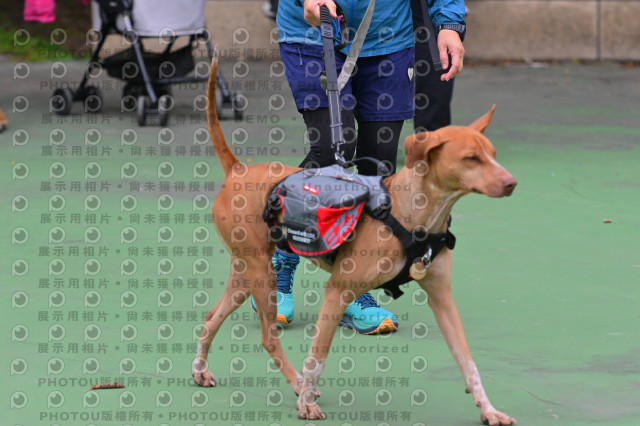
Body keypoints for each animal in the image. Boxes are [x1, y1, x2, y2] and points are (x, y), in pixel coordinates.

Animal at [192, 57, 518, 426]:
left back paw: (200, 370)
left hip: (245, 275)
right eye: (470, 158)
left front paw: (489, 409)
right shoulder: (337, 291)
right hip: (262, 275)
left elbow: (468, 362)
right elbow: (317, 357)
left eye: (492, 154)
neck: (411, 214)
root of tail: (238, 169)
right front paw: (306, 402)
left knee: (211, 317)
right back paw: (297, 384)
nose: (511, 183)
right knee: (268, 338)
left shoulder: (442, 298)